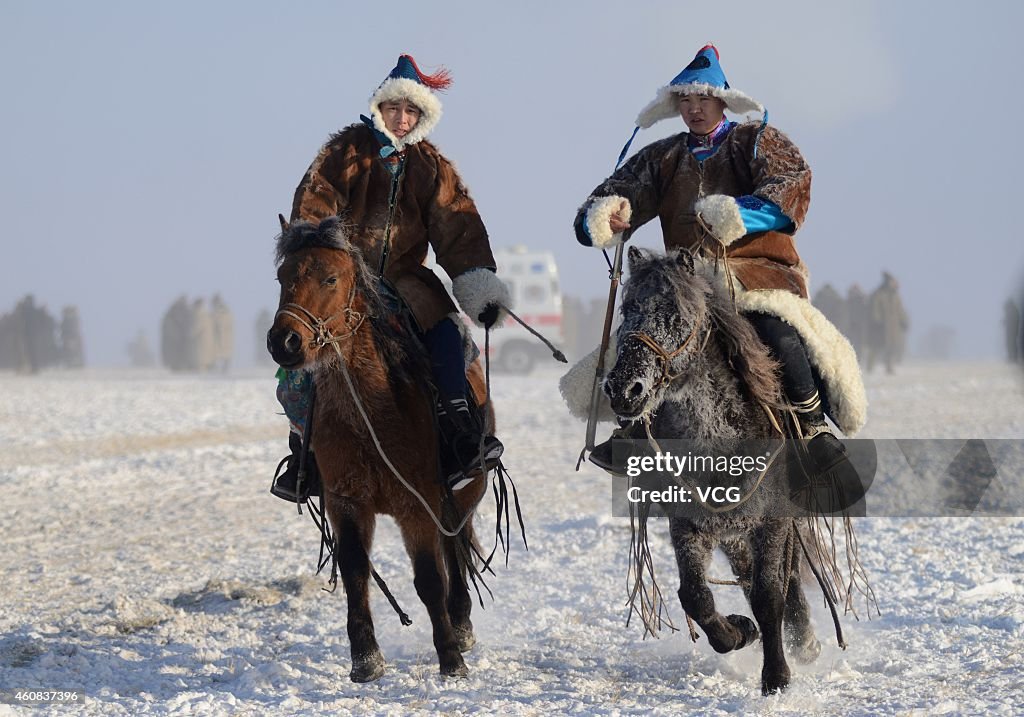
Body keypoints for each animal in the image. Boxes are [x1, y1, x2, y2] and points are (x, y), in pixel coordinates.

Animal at [268, 216, 491, 680]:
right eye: (282, 277)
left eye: (330, 278)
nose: (284, 342)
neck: (370, 412)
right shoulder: (346, 501)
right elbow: (355, 573)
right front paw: (366, 658)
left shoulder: (417, 503)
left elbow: (429, 578)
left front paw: (450, 657)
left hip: (465, 491)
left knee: (455, 547)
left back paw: (460, 625)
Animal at [606, 247, 823, 696]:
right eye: (628, 309)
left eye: (675, 314)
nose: (622, 390)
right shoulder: (689, 523)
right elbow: (695, 595)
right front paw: (740, 632)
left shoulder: (773, 520)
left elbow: (770, 594)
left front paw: (776, 676)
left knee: (787, 576)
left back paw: (805, 642)